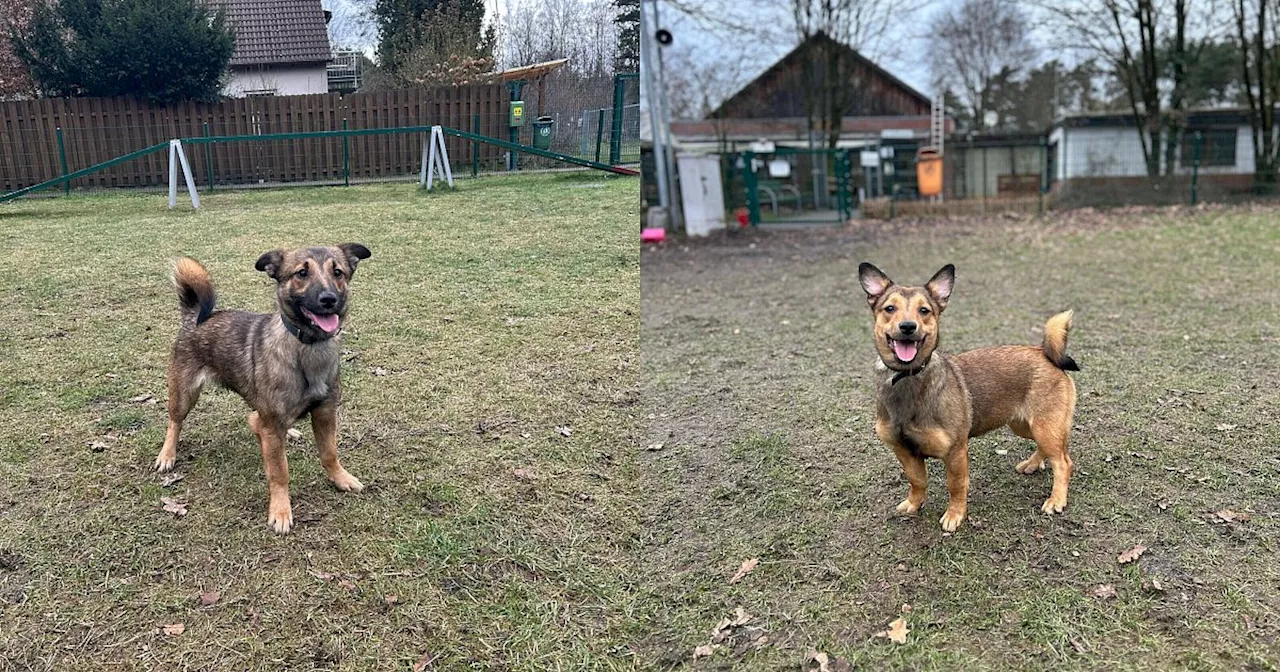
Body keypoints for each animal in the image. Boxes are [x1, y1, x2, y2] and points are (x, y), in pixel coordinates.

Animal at [156, 243, 371, 532]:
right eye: (301, 273)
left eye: (338, 272)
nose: (328, 299)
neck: (307, 349)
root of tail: (194, 316)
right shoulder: (274, 425)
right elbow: (279, 472)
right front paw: (280, 510)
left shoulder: (325, 413)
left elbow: (329, 453)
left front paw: (341, 478)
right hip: (185, 393)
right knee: (175, 422)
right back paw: (167, 454)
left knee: (254, 420)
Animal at [860, 262, 1080, 529]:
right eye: (889, 309)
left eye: (924, 311)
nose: (908, 327)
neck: (907, 377)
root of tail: (1045, 353)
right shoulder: (903, 450)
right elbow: (917, 481)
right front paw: (914, 503)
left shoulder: (955, 452)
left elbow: (956, 486)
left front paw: (955, 515)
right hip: (1026, 425)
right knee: (1052, 450)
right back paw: (1032, 464)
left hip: (1045, 427)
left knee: (1063, 462)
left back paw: (1056, 499)